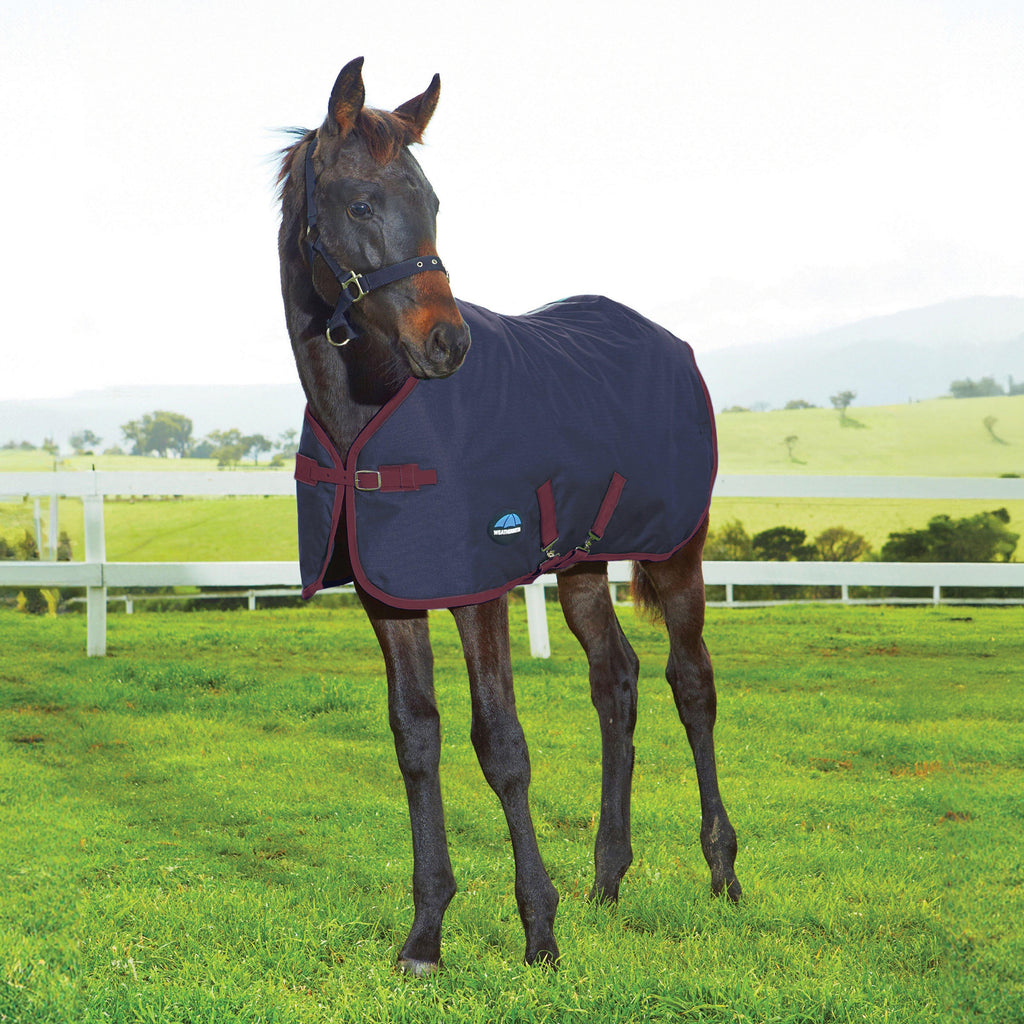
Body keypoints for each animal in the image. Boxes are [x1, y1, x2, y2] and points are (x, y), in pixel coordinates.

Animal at [276, 57, 741, 974]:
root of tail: (669, 342)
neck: (369, 415)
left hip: (677, 552)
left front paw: (539, 933)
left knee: (691, 683)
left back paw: (722, 871)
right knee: (616, 681)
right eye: (361, 204)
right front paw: (425, 937)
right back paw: (608, 878)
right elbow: (416, 740)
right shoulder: (390, 596)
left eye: (433, 200)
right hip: (585, 563)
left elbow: (501, 744)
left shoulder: (477, 588)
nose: (447, 344)